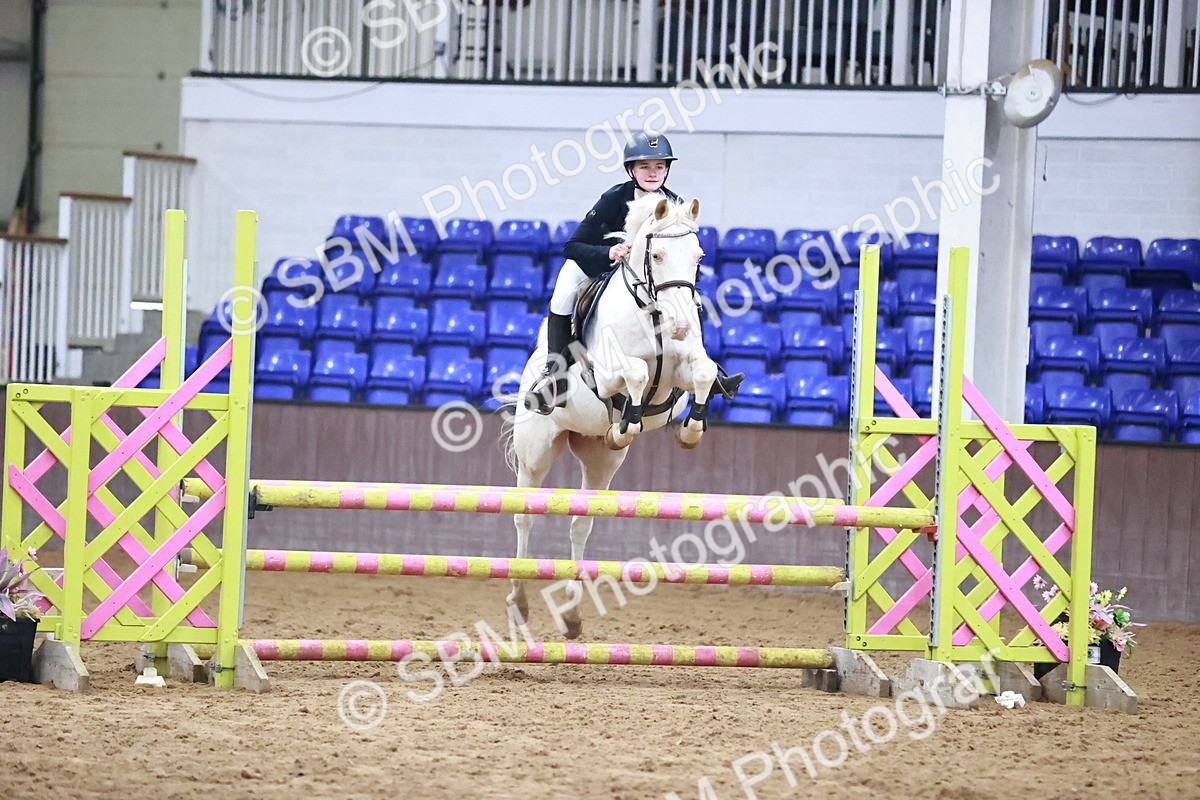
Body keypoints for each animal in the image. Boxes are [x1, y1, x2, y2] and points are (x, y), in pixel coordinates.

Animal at [503, 194, 719, 639]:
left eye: (698, 258)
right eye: (657, 254)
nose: (681, 324)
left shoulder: (680, 372)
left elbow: (704, 372)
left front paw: (690, 432)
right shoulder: (605, 374)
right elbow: (634, 373)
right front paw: (626, 424)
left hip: (600, 464)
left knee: (580, 524)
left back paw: (571, 615)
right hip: (535, 456)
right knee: (523, 517)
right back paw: (518, 603)